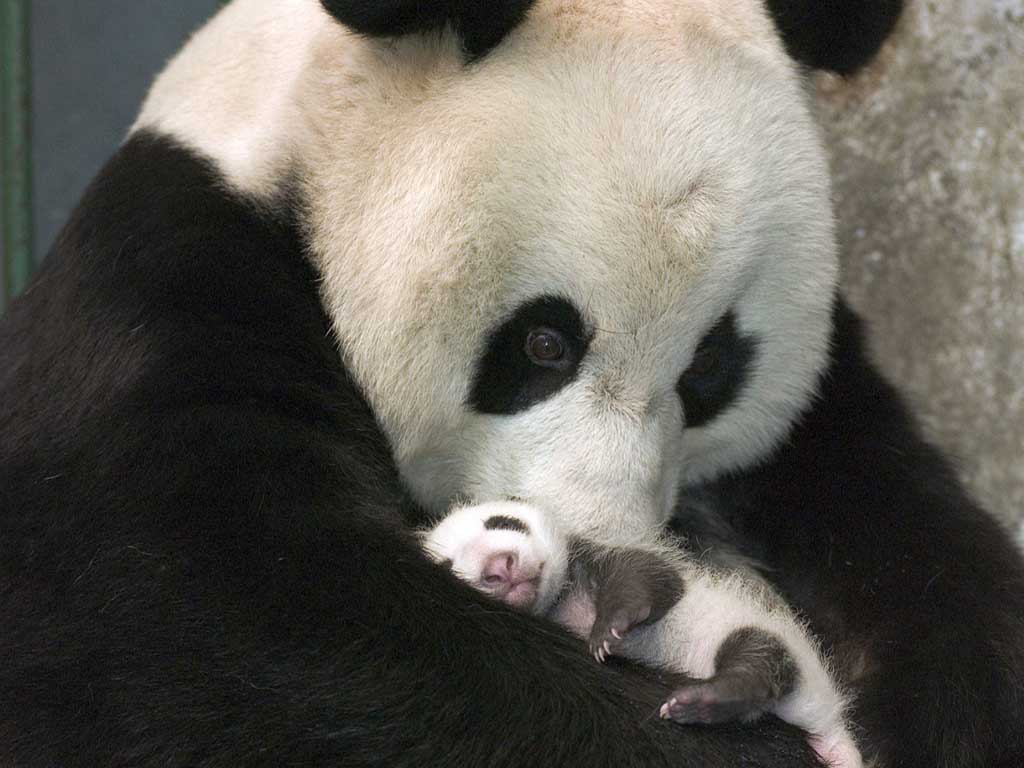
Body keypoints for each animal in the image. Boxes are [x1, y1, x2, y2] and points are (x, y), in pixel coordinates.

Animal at [419, 501, 860, 768]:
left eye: (502, 522)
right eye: (448, 566)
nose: (499, 566)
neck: (562, 602)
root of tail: (827, 725)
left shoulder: (596, 555)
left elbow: (648, 580)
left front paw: (608, 630)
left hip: (766, 635)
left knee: (756, 661)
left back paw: (702, 699)